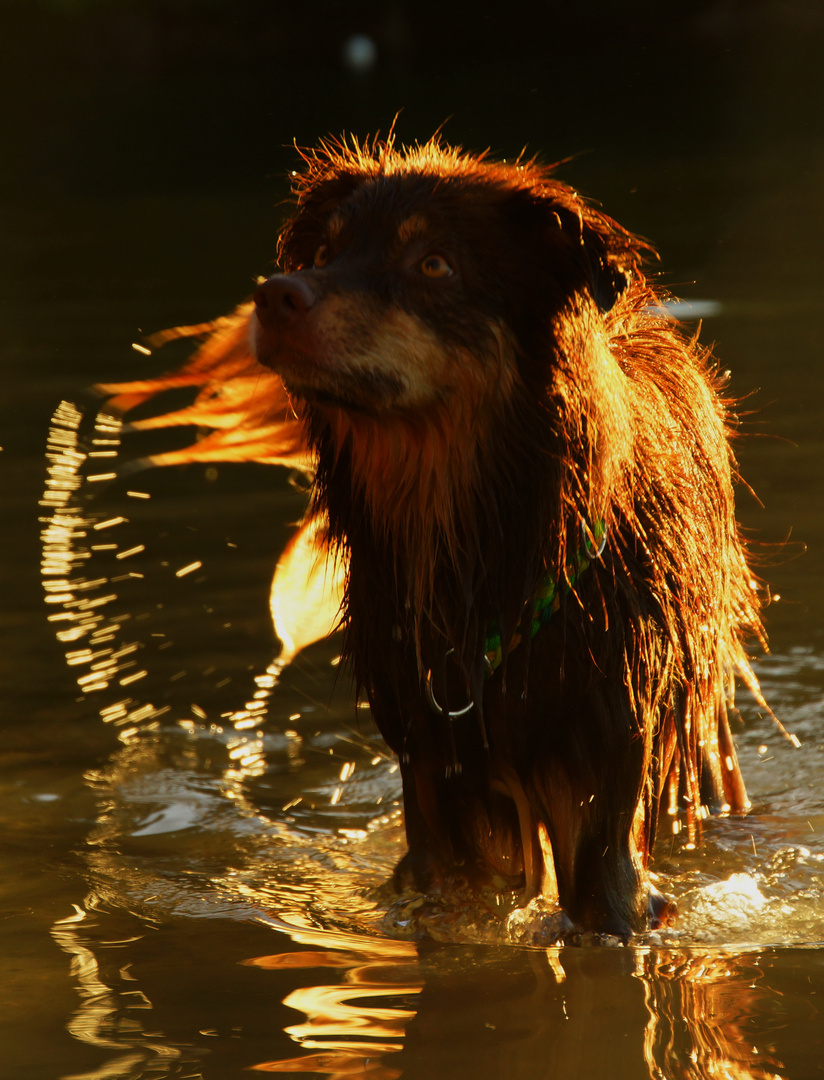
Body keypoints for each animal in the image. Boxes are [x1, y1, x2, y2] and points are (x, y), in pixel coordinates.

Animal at [101, 137, 768, 937]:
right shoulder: (433, 776)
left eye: (434, 264)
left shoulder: (600, 775)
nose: (275, 295)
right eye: (324, 251)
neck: (482, 549)